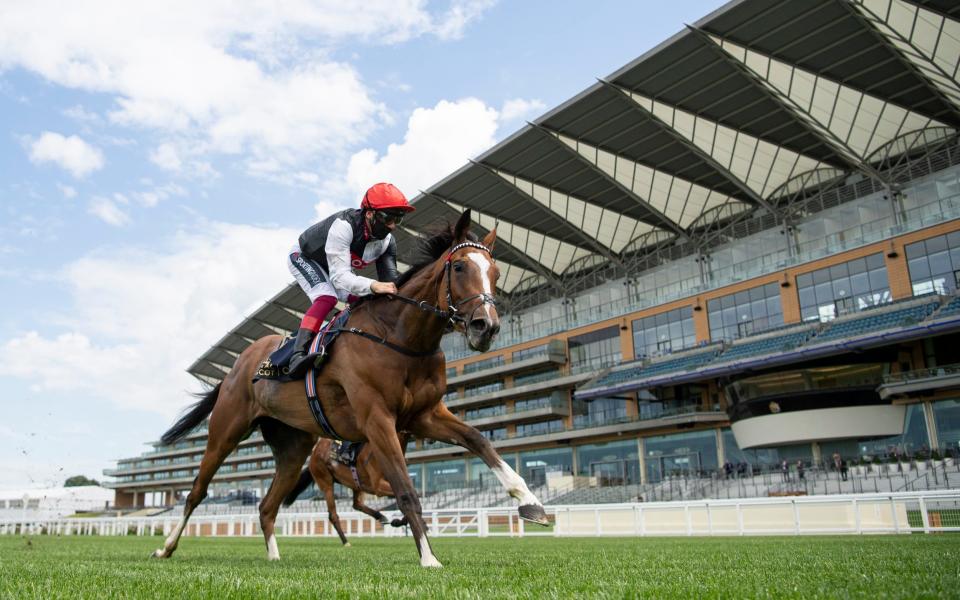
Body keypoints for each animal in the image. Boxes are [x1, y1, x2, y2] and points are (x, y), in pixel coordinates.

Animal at [155, 211, 552, 568]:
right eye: (458, 268)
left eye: (495, 273)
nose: (486, 327)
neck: (401, 337)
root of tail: (239, 365)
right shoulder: (377, 420)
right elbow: (406, 490)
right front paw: (428, 557)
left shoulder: (424, 415)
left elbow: (479, 440)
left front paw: (531, 502)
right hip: (227, 429)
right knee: (196, 491)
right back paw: (166, 547)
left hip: (293, 447)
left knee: (267, 506)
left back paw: (273, 555)